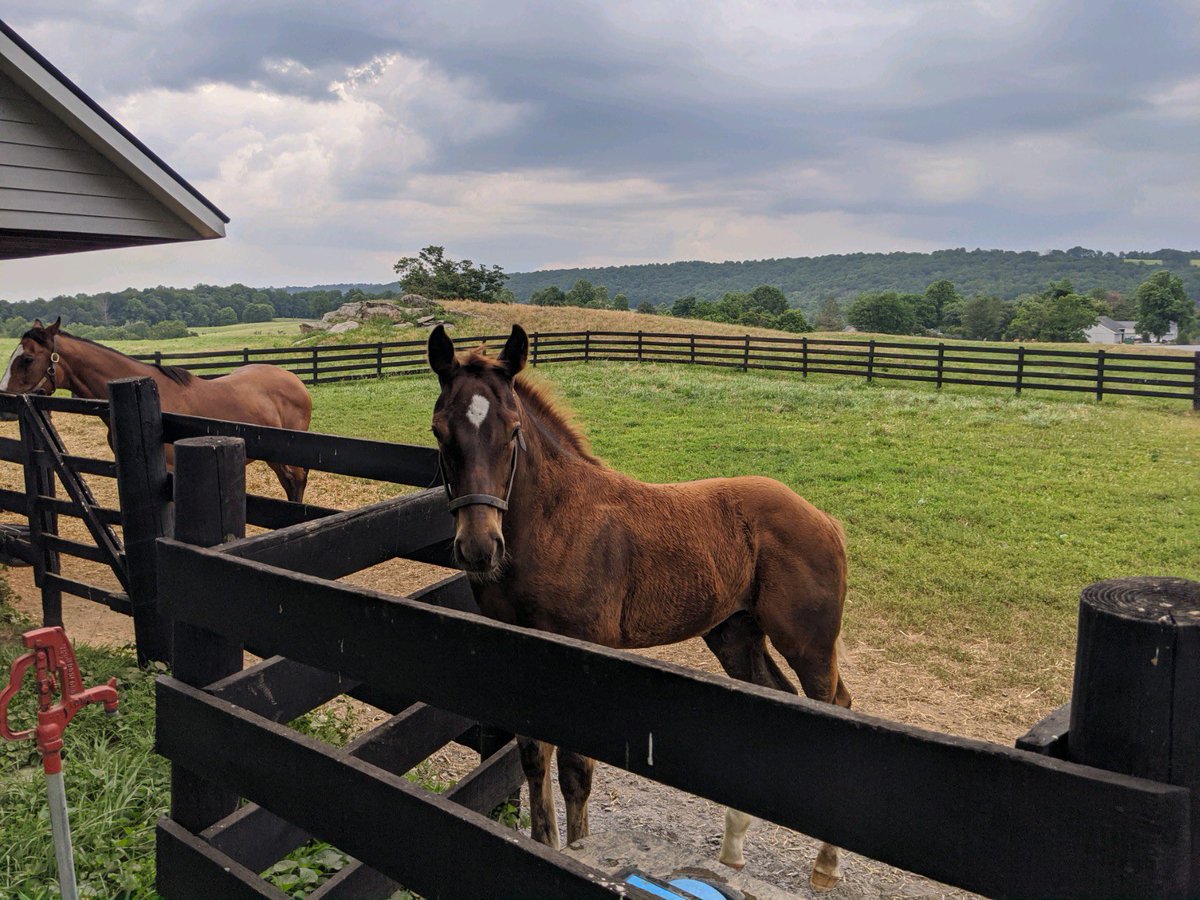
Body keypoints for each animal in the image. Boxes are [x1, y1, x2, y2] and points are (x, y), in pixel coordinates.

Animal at [427, 323, 853, 889]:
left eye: (513, 431)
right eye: (440, 432)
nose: (479, 548)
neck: (555, 523)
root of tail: (825, 519)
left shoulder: (582, 651)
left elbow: (575, 773)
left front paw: (577, 851)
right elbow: (534, 759)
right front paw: (547, 843)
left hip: (809, 644)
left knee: (836, 706)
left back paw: (825, 864)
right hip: (735, 634)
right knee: (775, 698)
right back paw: (734, 847)